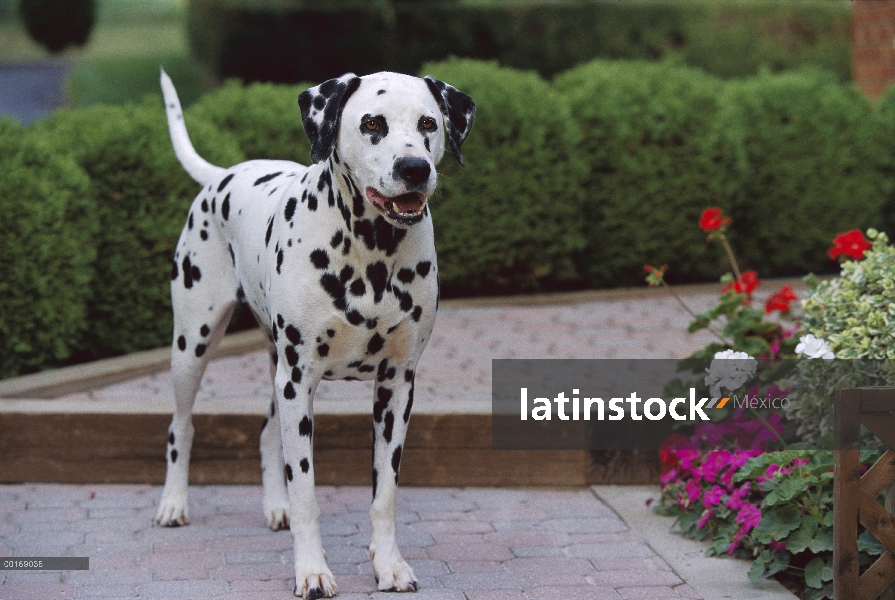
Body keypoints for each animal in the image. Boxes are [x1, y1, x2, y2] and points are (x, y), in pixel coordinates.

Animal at [154, 69, 476, 596]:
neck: (372, 254)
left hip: (276, 371)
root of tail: (222, 175)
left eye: (429, 123)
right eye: (372, 123)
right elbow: (306, 490)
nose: (414, 167)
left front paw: (389, 564)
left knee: (267, 435)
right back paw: (174, 503)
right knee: (181, 426)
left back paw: (274, 506)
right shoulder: (298, 381)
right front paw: (312, 570)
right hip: (193, 345)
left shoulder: (396, 387)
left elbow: (384, 494)